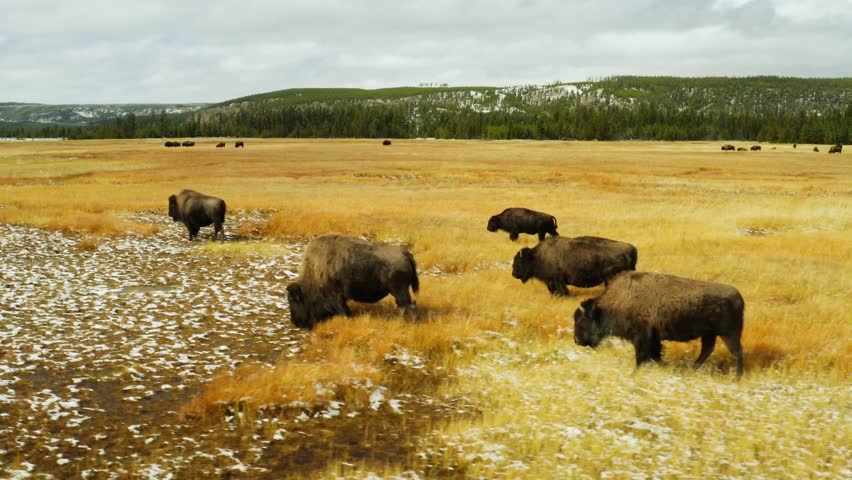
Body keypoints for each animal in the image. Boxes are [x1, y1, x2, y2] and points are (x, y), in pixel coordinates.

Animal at [286, 235, 419, 329]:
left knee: (409, 304)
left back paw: (409, 323)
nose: (295, 322)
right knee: (403, 305)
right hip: (398, 291)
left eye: (293, 300)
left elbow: (343, 311)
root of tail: (405, 253)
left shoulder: (336, 298)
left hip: (399, 290)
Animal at [574, 271, 745, 377]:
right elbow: (655, 356)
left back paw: (737, 377)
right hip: (710, 334)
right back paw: (692, 370)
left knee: (737, 352)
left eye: (582, 321)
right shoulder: (652, 339)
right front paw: (667, 368)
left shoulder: (642, 338)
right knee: (707, 350)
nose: (576, 340)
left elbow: (642, 357)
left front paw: (633, 374)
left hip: (729, 334)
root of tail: (738, 297)